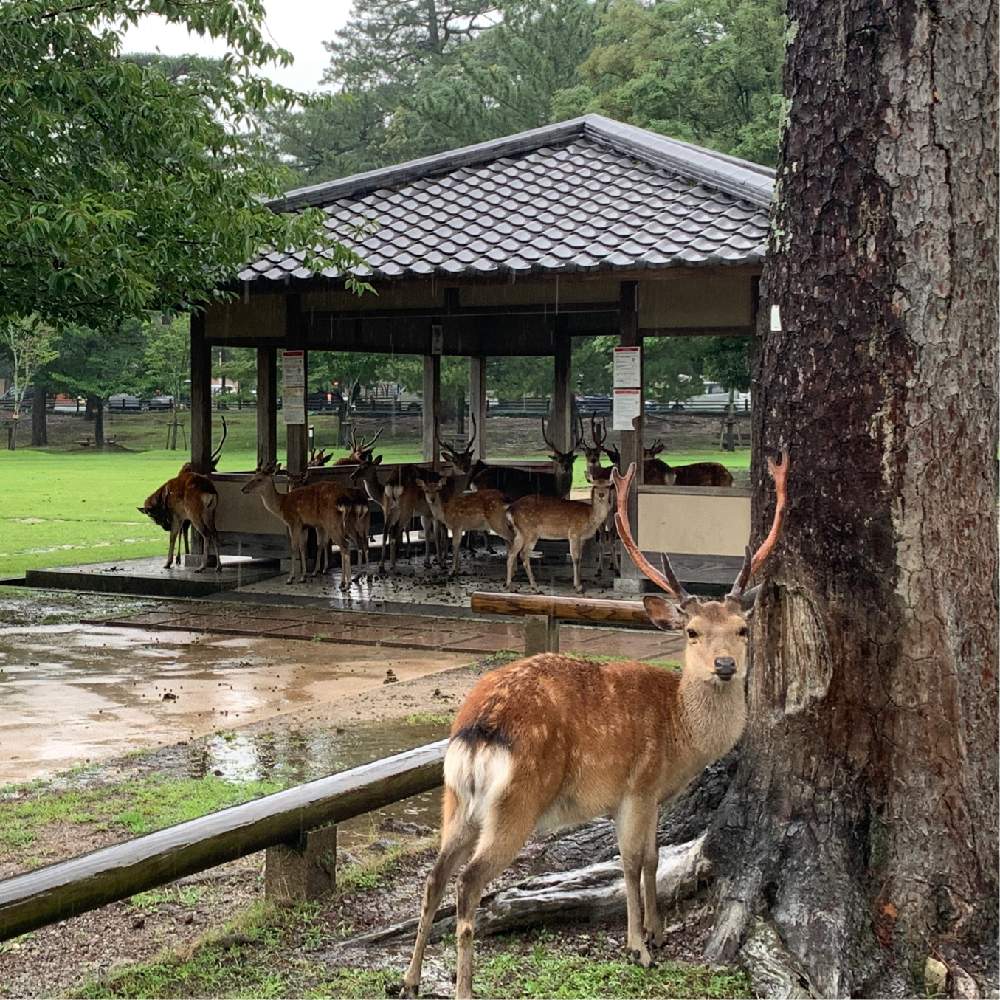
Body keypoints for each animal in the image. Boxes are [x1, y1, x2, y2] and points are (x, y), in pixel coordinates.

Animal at [400, 450, 788, 996]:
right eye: (691, 631)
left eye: (743, 629)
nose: (726, 666)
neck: (680, 736)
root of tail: (481, 726)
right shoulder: (637, 785)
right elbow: (630, 860)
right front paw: (639, 946)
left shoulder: (654, 795)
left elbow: (653, 857)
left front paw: (658, 931)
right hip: (517, 802)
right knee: (468, 880)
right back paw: (463, 986)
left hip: (456, 798)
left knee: (434, 876)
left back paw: (410, 979)